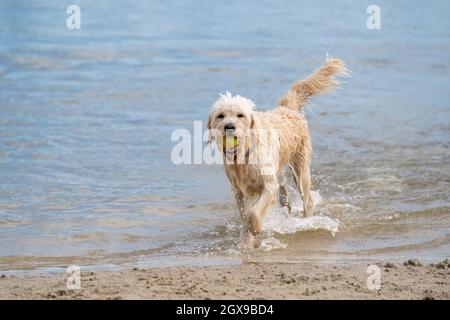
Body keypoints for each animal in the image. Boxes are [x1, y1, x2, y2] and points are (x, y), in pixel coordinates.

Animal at [207, 57, 348, 248]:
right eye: (221, 115)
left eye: (240, 115)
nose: (229, 127)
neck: (244, 154)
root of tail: (287, 108)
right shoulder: (239, 191)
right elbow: (245, 215)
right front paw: (246, 242)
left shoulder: (267, 185)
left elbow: (253, 213)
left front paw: (256, 228)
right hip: (280, 168)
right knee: (283, 188)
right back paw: (285, 203)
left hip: (301, 170)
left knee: (307, 200)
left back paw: (306, 220)